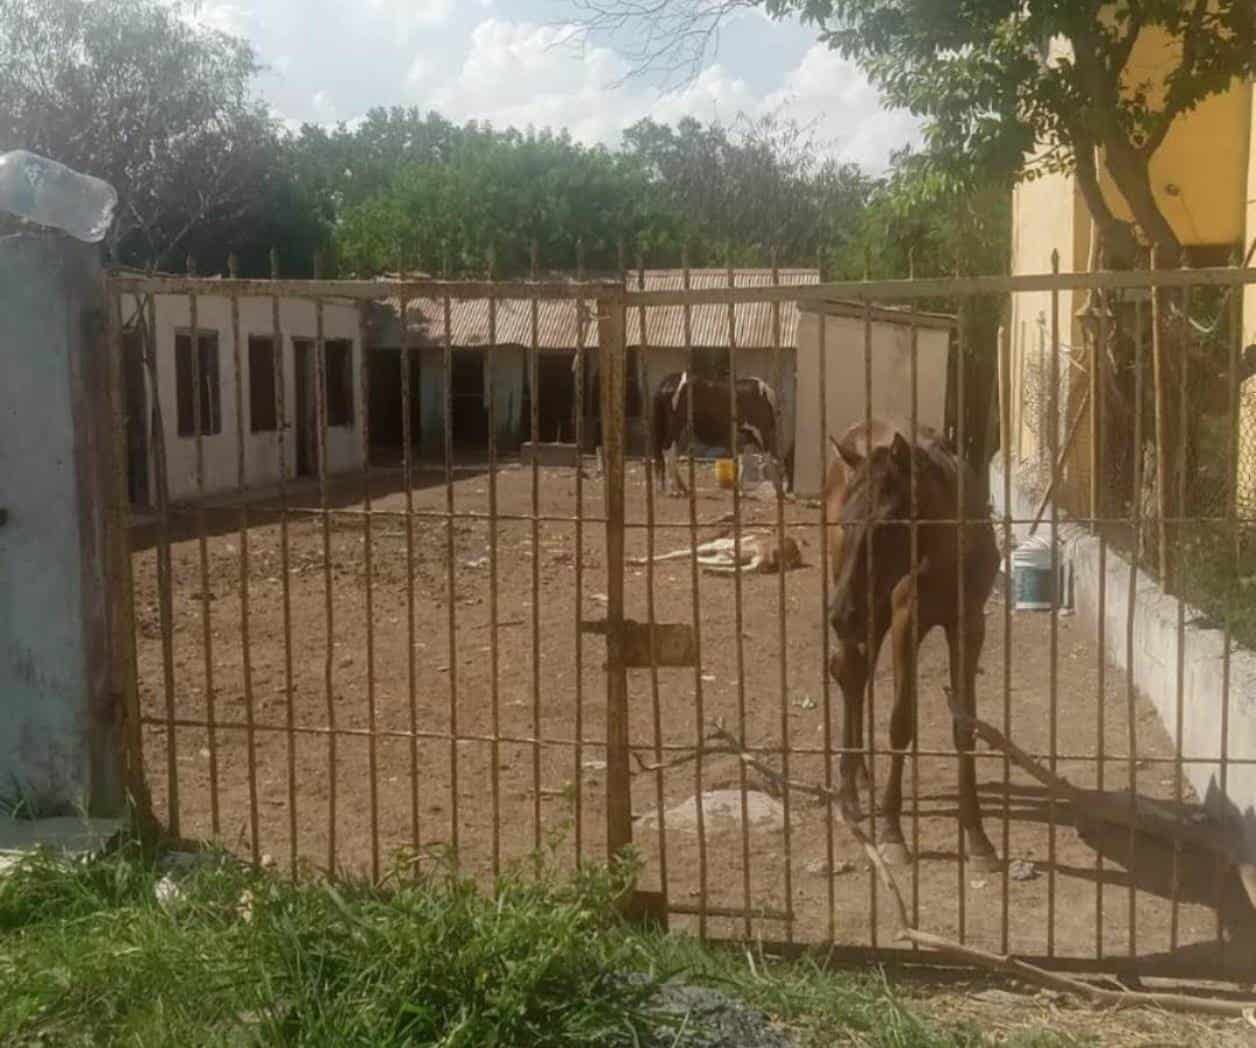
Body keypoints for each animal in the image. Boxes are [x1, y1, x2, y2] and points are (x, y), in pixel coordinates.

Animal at [648, 371, 783, 495]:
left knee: (667, 453)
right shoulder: (761, 433)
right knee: (668, 450)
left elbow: (746, 460)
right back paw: (675, 490)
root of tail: (667, 383)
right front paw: (779, 490)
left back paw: (679, 488)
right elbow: (769, 458)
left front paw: (740, 489)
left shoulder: (749, 436)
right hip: (676, 426)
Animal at [823, 417, 999, 864]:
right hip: (872, 610)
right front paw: (892, 833)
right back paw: (850, 795)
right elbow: (901, 723)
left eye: (888, 526)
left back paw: (861, 778)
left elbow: (965, 727)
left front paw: (977, 836)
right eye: (846, 522)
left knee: (857, 675)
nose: (839, 614)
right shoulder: (907, 620)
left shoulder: (970, 626)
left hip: (873, 611)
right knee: (851, 673)